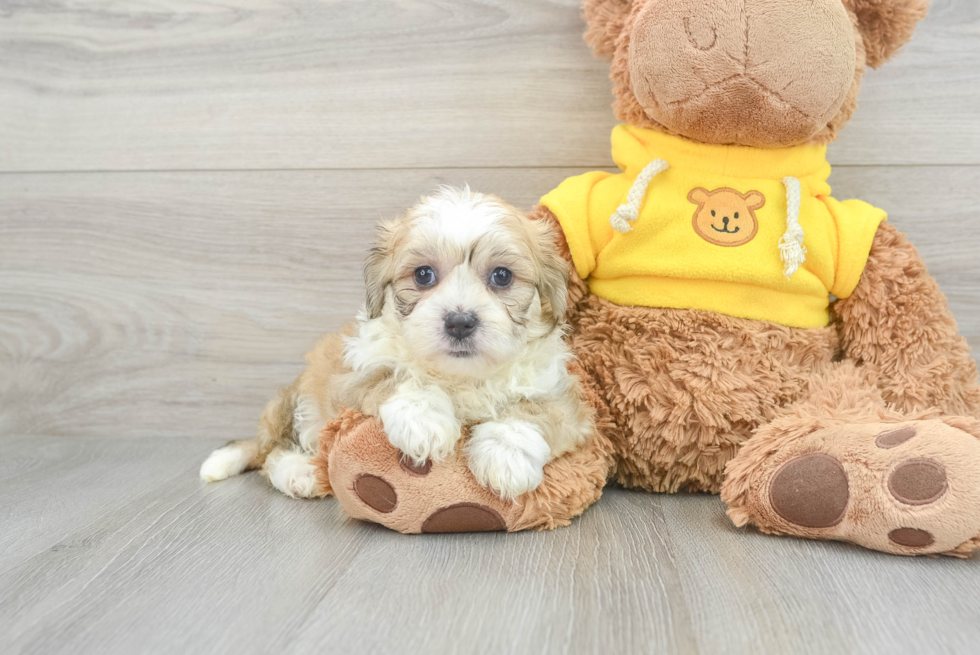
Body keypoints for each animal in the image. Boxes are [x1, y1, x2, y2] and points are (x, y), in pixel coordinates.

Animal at [201, 187, 588, 500]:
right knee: (272, 453)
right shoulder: (350, 376)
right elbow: (393, 376)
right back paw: (301, 473)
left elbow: (535, 411)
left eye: (502, 276)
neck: (461, 377)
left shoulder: (565, 400)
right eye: (423, 275)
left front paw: (505, 457)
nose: (460, 322)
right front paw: (425, 421)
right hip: (299, 405)